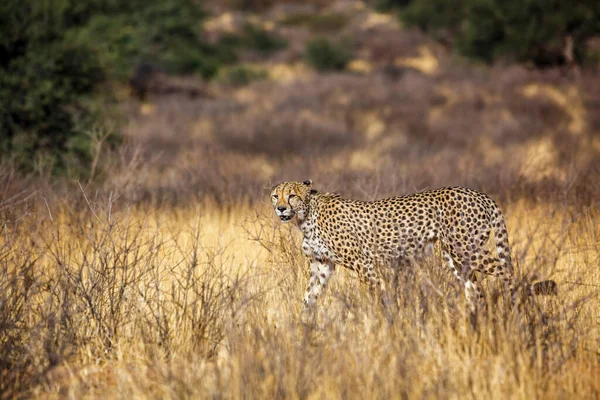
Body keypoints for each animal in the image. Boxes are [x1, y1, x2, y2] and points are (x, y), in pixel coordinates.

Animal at [270, 180, 556, 310]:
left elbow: (376, 295)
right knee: (475, 288)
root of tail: (478, 193)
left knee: (508, 271)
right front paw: (304, 329)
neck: (306, 216)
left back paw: (518, 307)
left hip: (466, 250)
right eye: (275, 195)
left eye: (291, 195)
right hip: (454, 257)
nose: (280, 208)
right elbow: (309, 297)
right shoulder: (322, 265)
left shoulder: (364, 263)